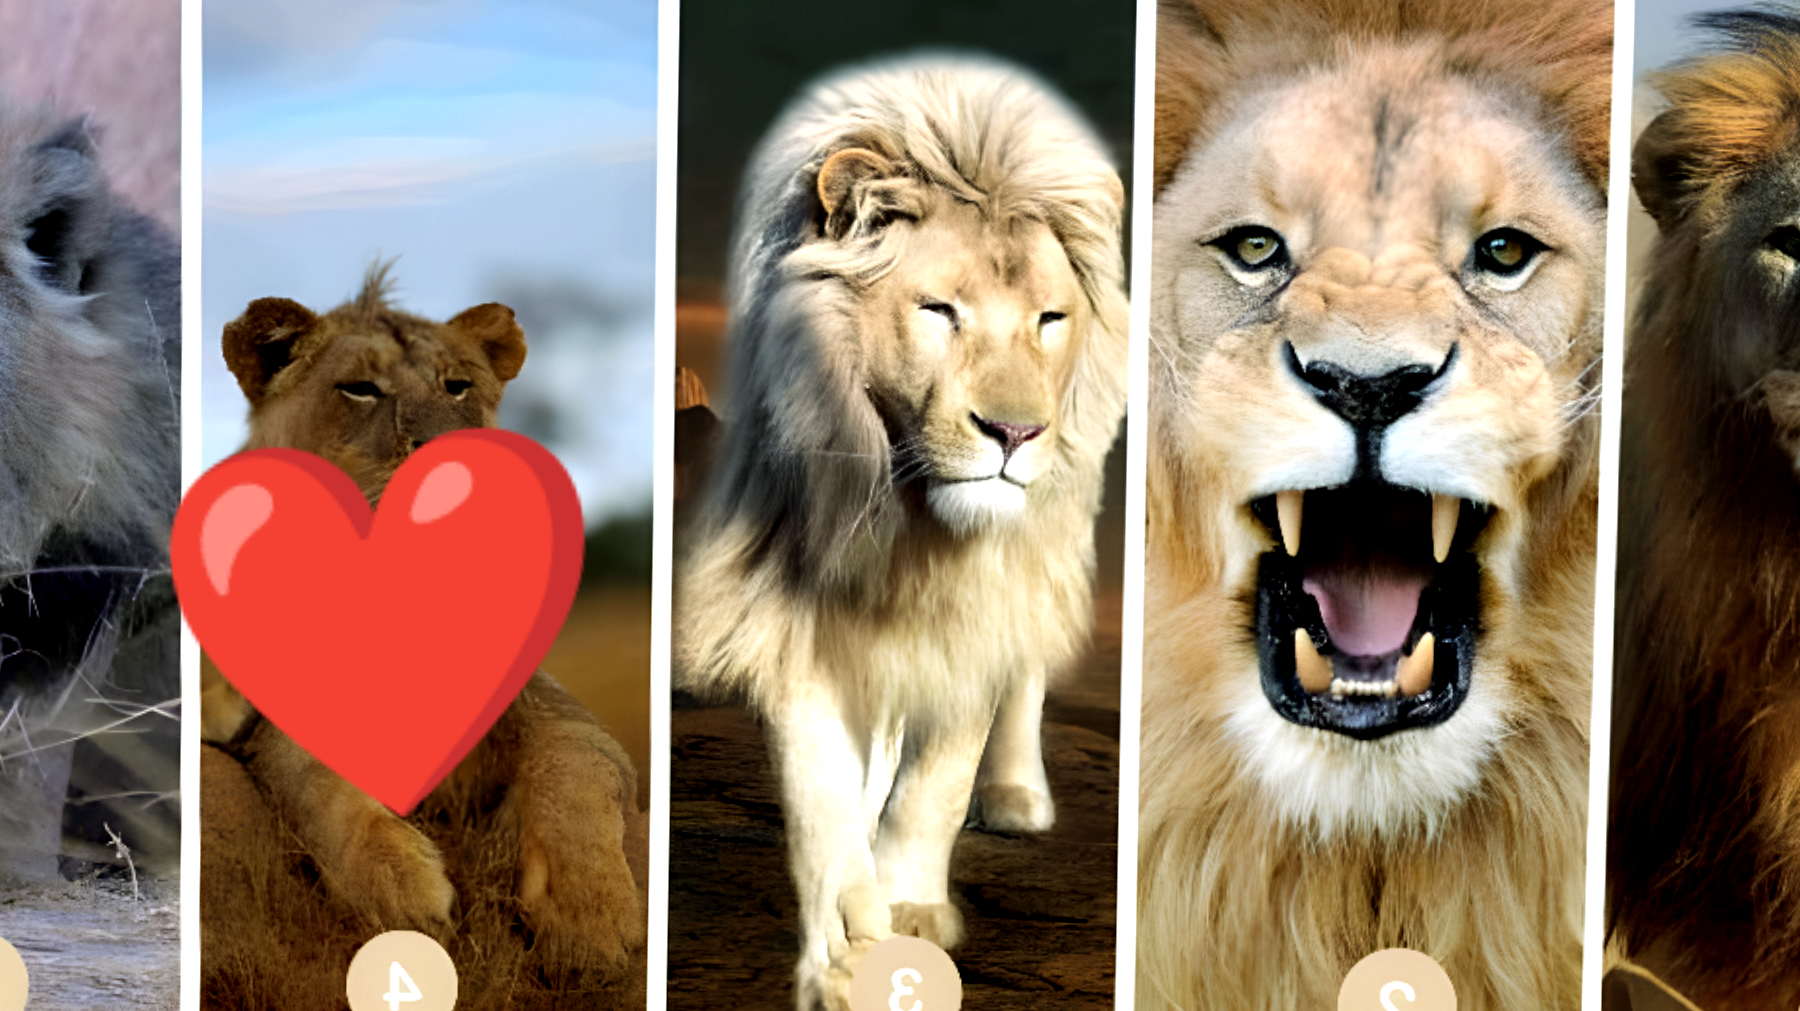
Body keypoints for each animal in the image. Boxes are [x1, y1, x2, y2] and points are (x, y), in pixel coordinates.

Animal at [200, 265, 646, 1005]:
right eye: (360, 387)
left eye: (457, 384)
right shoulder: (275, 722)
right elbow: (316, 775)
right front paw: (401, 886)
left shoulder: (549, 708)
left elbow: (576, 761)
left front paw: (591, 920)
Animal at [673, 55, 1128, 1010]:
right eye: (939, 310)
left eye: (1050, 319)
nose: (1016, 432)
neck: (908, 512)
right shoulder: (791, 596)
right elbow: (822, 787)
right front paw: (848, 949)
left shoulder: (980, 606)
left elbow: (938, 781)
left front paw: (910, 906)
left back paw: (1016, 791)